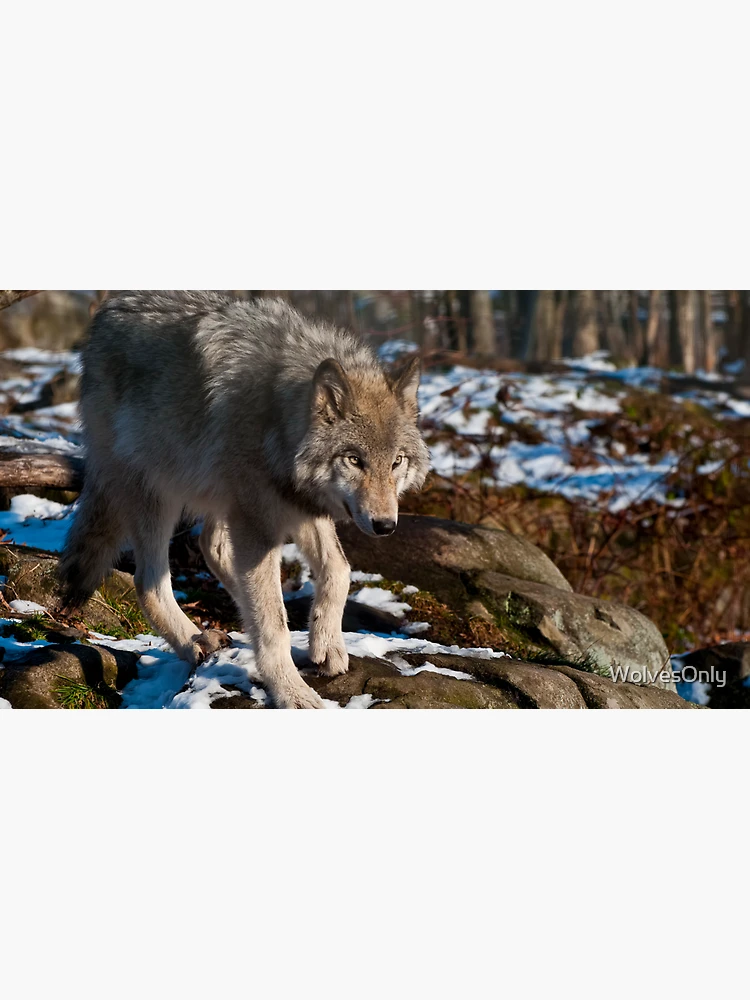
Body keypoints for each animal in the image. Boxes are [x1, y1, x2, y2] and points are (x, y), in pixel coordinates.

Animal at [59, 291, 430, 708]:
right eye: (354, 460)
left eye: (397, 461)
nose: (385, 526)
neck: (276, 418)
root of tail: (107, 312)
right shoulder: (260, 523)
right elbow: (273, 623)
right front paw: (291, 691)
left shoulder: (300, 507)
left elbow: (339, 570)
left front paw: (326, 644)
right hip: (157, 492)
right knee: (149, 583)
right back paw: (195, 642)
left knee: (213, 547)